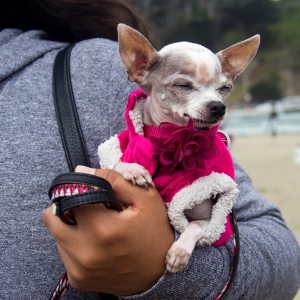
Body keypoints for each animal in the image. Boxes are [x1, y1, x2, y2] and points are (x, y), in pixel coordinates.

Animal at [98, 24, 258, 274]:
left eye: (225, 88)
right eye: (183, 86)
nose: (218, 106)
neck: (172, 140)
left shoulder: (215, 223)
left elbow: (195, 226)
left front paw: (179, 252)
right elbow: (115, 164)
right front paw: (132, 170)